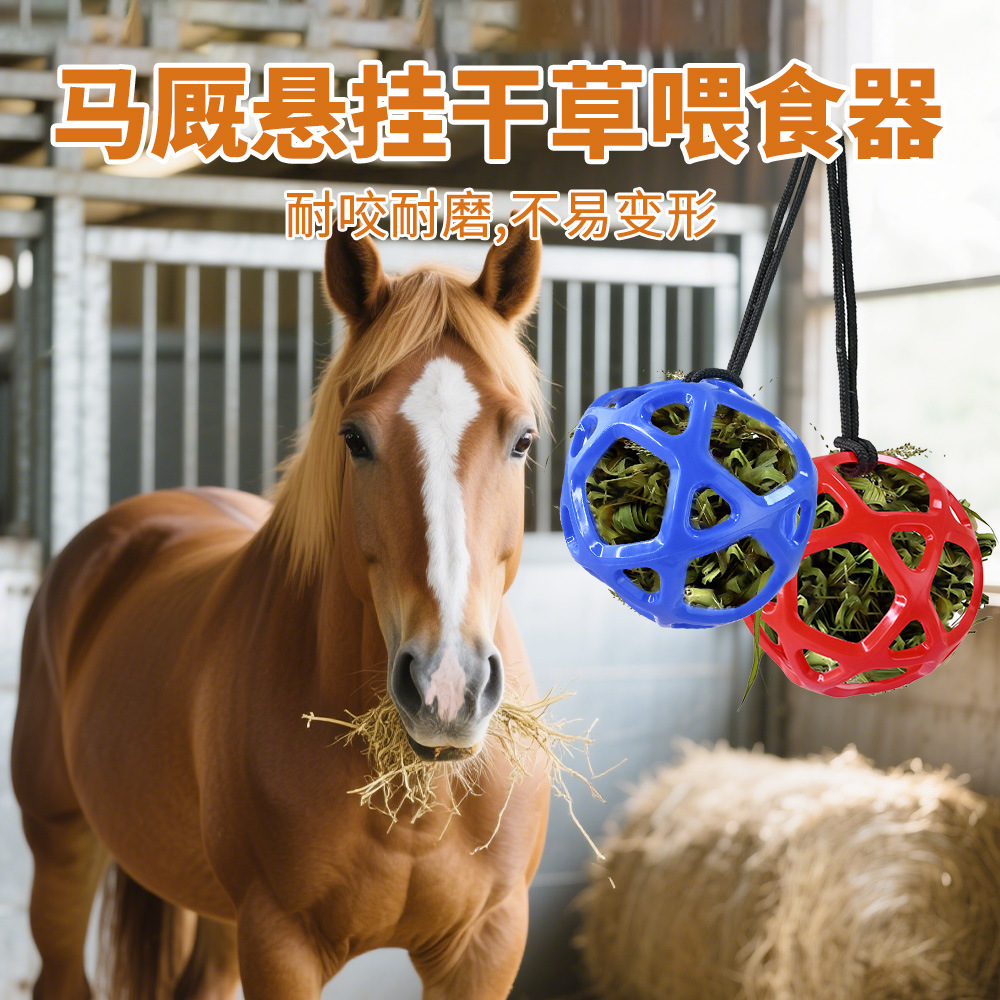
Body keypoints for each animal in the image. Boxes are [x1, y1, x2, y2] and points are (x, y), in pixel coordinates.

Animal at [11, 223, 551, 1000]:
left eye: (522, 439)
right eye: (355, 438)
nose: (448, 690)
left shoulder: (488, 943)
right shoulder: (279, 942)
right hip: (60, 846)